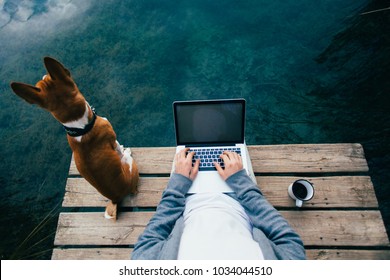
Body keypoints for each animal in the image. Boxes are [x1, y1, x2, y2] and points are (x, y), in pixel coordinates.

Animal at [10, 56, 140, 219]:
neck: (80, 128)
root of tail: (115, 198)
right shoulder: (112, 138)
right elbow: (117, 146)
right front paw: (124, 148)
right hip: (131, 166)